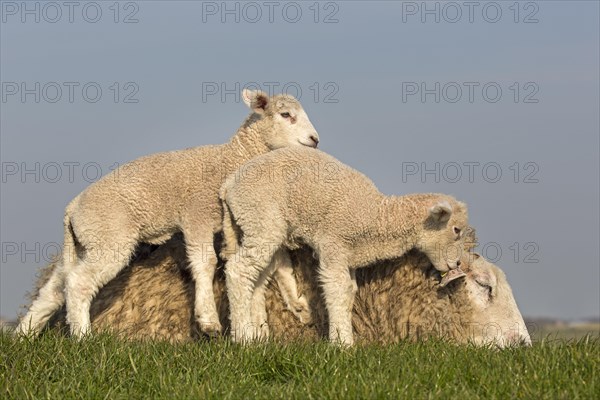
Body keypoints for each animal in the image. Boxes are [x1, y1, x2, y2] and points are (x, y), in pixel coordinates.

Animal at [16, 88, 322, 338]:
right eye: (286, 114)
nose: (315, 140)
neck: (230, 158)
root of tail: (72, 208)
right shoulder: (196, 215)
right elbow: (205, 263)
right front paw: (208, 320)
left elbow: (279, 263)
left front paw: (299, 305)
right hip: (109, 237)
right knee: (79, 283)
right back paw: (82, 337)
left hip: (84, 244)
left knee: (54, 290)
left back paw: (23, 336)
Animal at [220, 145, 468, 346]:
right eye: (456, 230)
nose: (457, 264)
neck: (378, 217)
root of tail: (228, 186)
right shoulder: (334, 245)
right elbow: (336, 290)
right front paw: (342, 345)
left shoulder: (349, 257)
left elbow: (349, 293)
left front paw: (343, 337)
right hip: (261, 220)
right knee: (238, 271)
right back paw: (242, 337)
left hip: (254, 227)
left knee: (256, 278)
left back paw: (257, 336)